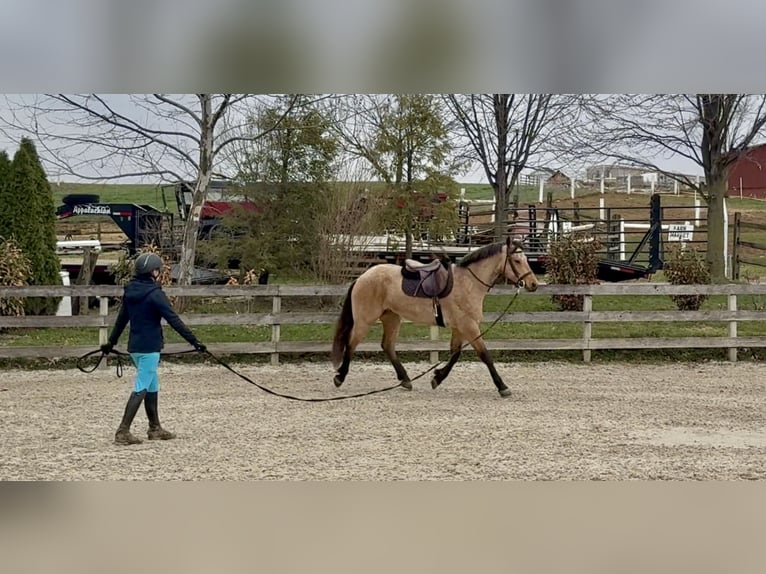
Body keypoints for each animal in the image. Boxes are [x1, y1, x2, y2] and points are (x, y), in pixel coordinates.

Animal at [331, 236, 539, 397]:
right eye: (517, 261)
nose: (533, 284)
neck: (468, 283)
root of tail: (362, 277)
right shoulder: (469, 326)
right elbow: (485, 355)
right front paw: (502, 387)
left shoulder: (460, 328)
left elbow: (455, 354)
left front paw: (437, 377)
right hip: (365, 320)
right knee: (351, 344)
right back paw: (340, 377)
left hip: (392, 318)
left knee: (387, 346)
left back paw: (405, 380)